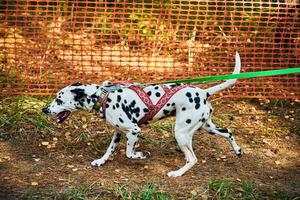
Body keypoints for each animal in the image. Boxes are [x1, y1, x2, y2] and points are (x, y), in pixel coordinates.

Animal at [43, 52, 243, 177]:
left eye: (59, 100)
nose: (44, 110)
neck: (104, 96)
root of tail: (204, 92)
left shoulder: (134, 130)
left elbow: (129, 153)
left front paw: (142, 155)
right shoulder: (118, 133)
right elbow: (109, 150)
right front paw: (101, 161)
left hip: (181, 132)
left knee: (193, 158)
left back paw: (177, 173)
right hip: (206, 127)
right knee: (228, 132)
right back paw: (238, 151)